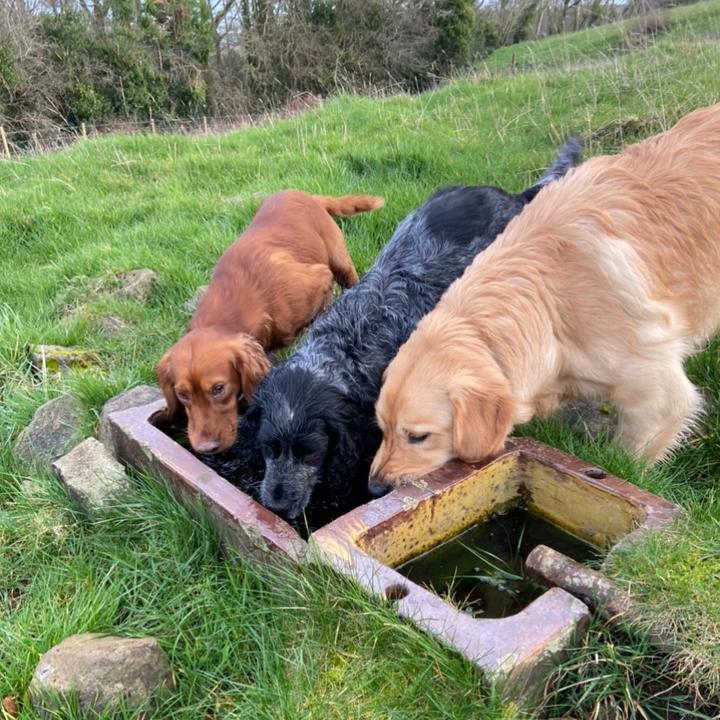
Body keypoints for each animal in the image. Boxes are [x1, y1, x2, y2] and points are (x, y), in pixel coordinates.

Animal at [156, 189, 383, 454]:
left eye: (218, 389)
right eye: (182, 395)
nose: (205, 448)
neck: (233, 307)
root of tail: (303, 194)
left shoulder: (320, 279)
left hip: (339, 261)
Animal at [370, 103, 720, 492]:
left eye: (418, 436)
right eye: (381, 428)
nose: (374, 487)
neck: (549, 305)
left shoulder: (657, 394)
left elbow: (631, 458)